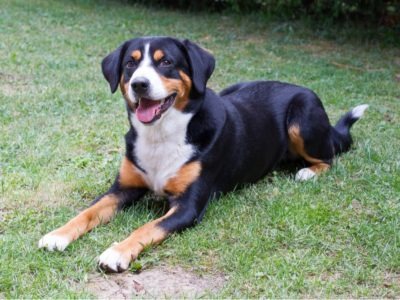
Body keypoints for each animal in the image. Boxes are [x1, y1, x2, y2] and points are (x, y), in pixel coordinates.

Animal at [39, 35, 368, 272]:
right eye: (130, 65)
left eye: (166, 62)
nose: (139, 84)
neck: (162, 134)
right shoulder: (123, 188)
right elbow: (87, 212)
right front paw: (58, 234)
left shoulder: (188, 206)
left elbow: (146, 228)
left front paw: (116, 252)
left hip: (303, 118)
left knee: (330, 156)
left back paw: (308, 172)